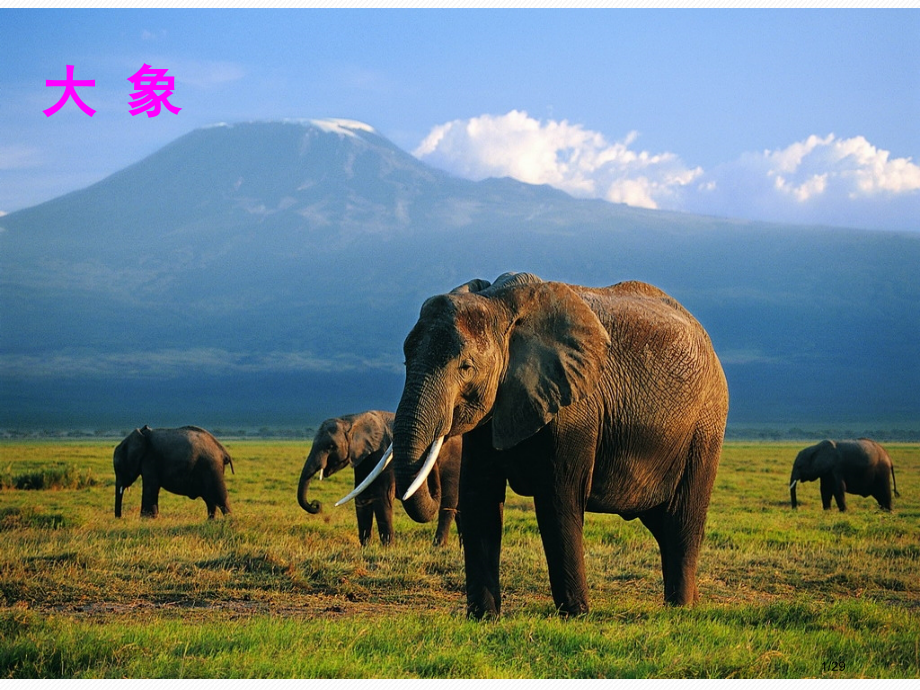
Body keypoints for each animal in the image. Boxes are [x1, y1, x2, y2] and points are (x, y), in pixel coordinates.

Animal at [298, 410, 462, 547]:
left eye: (331, 446)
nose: (316, 504)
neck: (352, 420)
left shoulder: (382, 454)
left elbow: (382, 496)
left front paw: (388, 548)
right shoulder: (363, 458)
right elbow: (362, 496)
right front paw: (365, 547)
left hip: (454, 462)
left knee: (448, 503)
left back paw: (438, 546)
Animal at [347, 273, 729, 618]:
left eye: (466, 366)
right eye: (405, 360)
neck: (500, 305)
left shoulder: (575, 409)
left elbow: (558, 502)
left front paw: (575, 615)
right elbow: (480, 500)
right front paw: (483, 618)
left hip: (706, 426)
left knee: (681, 522)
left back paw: (680, 608)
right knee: (662, 525)